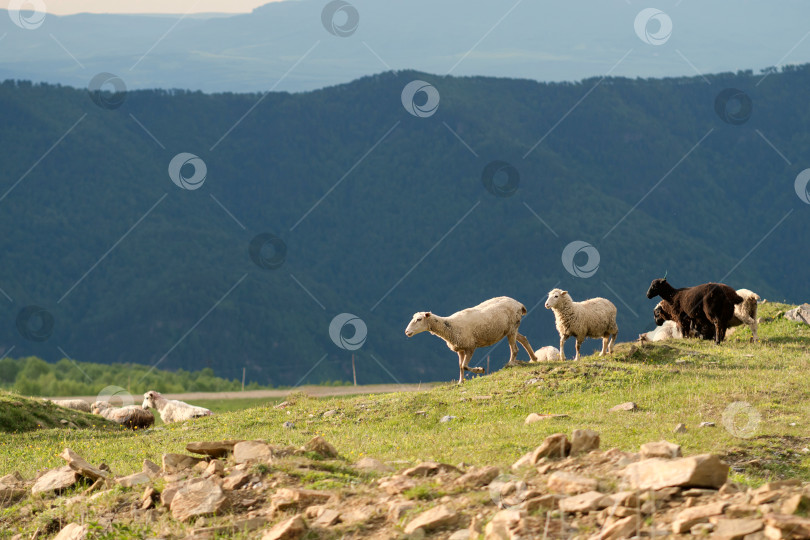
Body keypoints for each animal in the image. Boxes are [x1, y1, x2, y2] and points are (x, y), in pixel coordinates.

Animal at [402, 296, 536, 384]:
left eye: (419, 319)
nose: (407, 332)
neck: (450, 327)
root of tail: (518, 304)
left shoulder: (470, 347)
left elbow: (465, 366)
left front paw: (480, 370)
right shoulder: (460, 349)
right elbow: (461, 366)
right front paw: (460, 382)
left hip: (513, 326)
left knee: (514, 348)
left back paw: (511, 363)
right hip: (510, 329)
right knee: (523, 339)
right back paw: (534, 358)